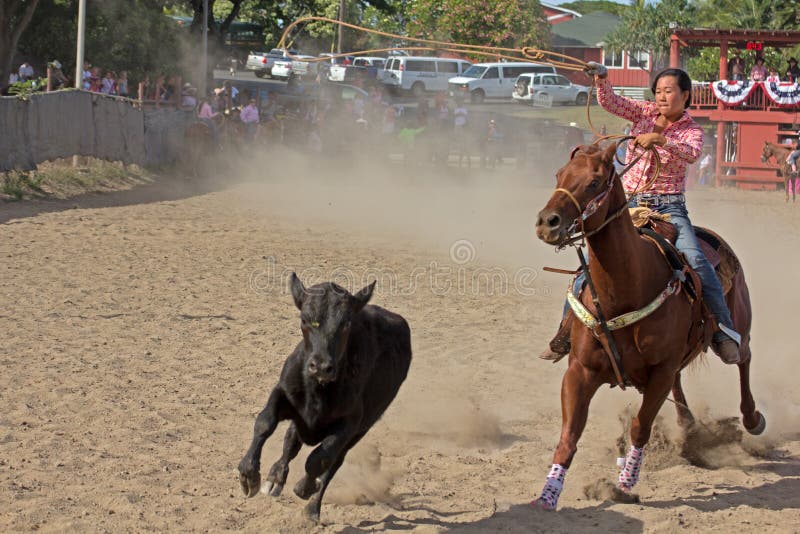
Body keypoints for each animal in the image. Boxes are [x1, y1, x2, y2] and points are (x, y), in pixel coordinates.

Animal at [532, 144, 764, 512]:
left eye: (594, 181)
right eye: (559, 174)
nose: (547, 222)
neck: (626, 289)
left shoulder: (660, 372)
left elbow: (640, 426)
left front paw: (625, 482)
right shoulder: (580, 371)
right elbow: (569, 434)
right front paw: (548, 493)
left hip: (739, 321)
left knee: (743, 358)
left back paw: (752, 418)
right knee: (683, 383)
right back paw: (689, 428)